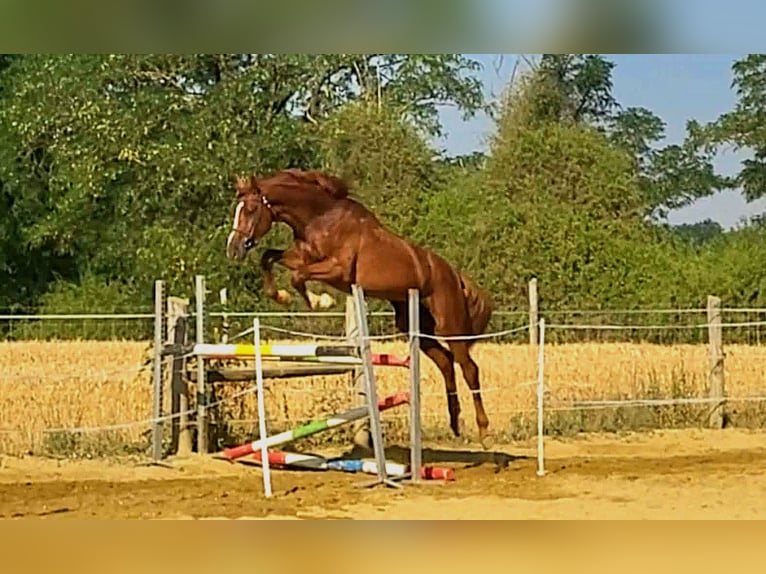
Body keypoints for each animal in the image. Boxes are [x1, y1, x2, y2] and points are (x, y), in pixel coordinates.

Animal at [225, 168, 496, 449]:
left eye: (251, 209)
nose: (233, 249)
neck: (320, 218)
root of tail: (454, 273)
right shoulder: (300, 257)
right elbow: (268, 257)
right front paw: (281, 296)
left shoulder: (337, 270)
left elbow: (297, 277)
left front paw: (320, 301)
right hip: (416, 325)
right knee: (445, 362)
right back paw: (455, 421)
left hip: (450, 326)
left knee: (469, 368)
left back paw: (484, 433)